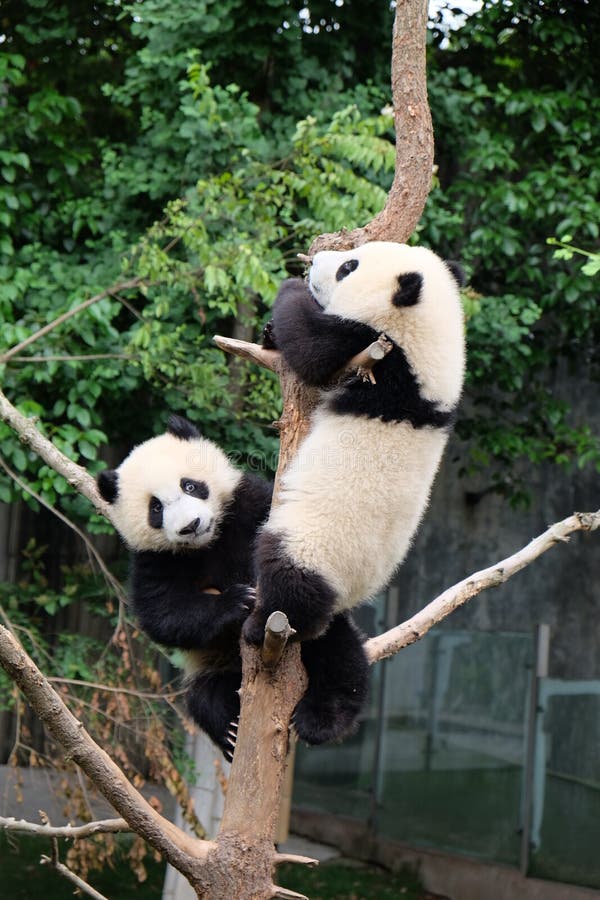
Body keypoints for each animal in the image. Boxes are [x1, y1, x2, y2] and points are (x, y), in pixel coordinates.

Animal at [98, 414, 272, 760]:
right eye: (156, 508)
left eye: (190, 485)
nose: (191, 526)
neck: (209, 541)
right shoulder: (155, 559)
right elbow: (163, 612)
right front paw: (236, 601)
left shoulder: (248, 503)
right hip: (212, 666)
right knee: (204, 697)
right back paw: (230, 730)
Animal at [243, 239, 464, 740]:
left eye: (349, 266)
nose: (314, 264)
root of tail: (350, 589)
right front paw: (269, 329)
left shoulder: (376, 351)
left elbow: (312, 348)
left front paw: (288, 291)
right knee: (340, 649)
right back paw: (327, 716)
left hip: (314, 545)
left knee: (292, 587)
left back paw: (258, 625)